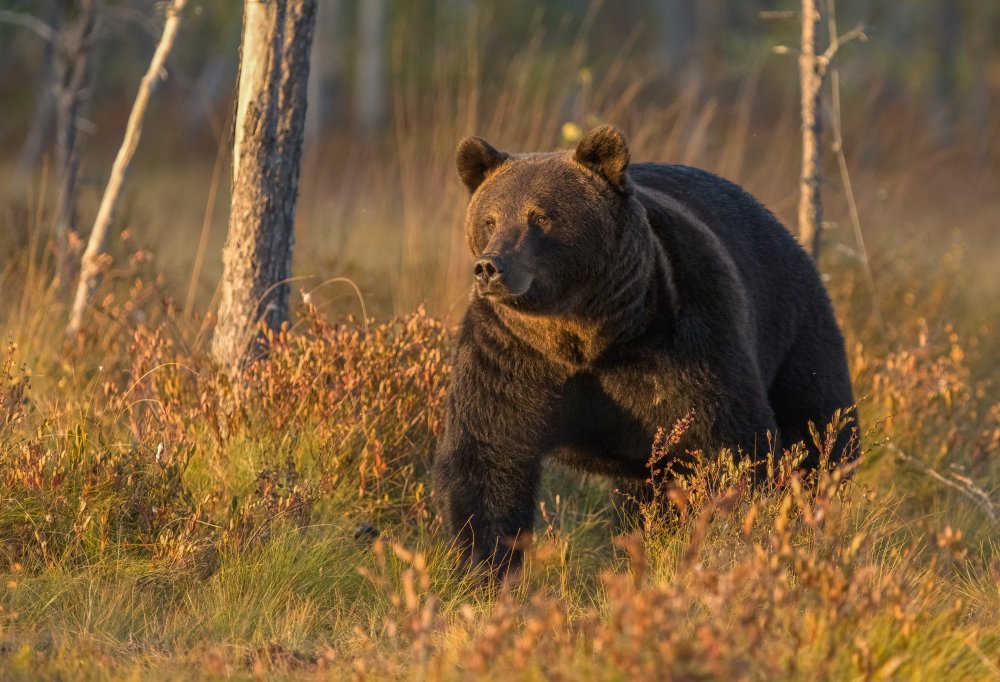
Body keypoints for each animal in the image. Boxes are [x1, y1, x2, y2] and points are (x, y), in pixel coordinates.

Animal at [434, 125, 856, 572]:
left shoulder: (685, 340)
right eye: (489, 219)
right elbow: (488, 457)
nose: (490, 266)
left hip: (797, 332)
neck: (587, 334)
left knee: (818, 435)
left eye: (541, 216)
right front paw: (485, 565)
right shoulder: (511, 354)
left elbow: (733, 446)